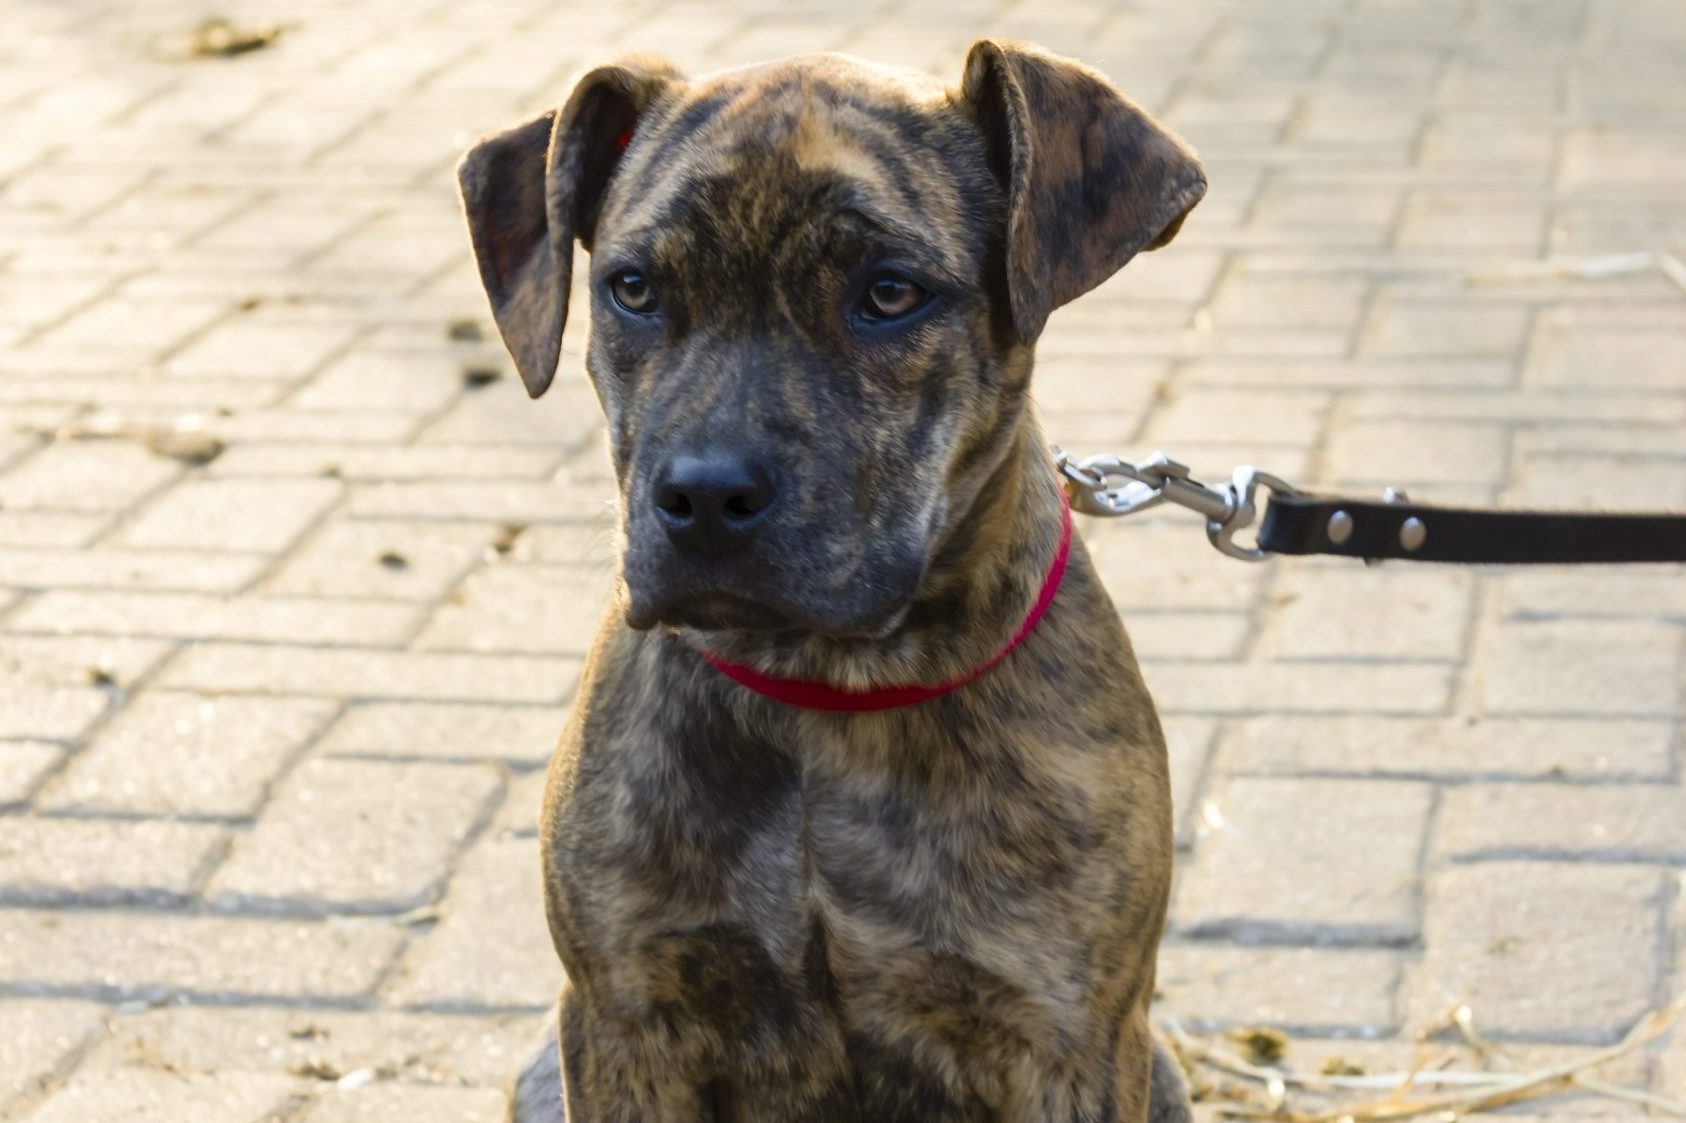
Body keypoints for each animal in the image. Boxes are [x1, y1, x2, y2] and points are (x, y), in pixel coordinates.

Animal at [455, 37, 1207, 1119]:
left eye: (889, 293)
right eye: (634, 287)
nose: (706, 493)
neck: (827, 690)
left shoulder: (1069, 1040)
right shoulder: (625, 1016)